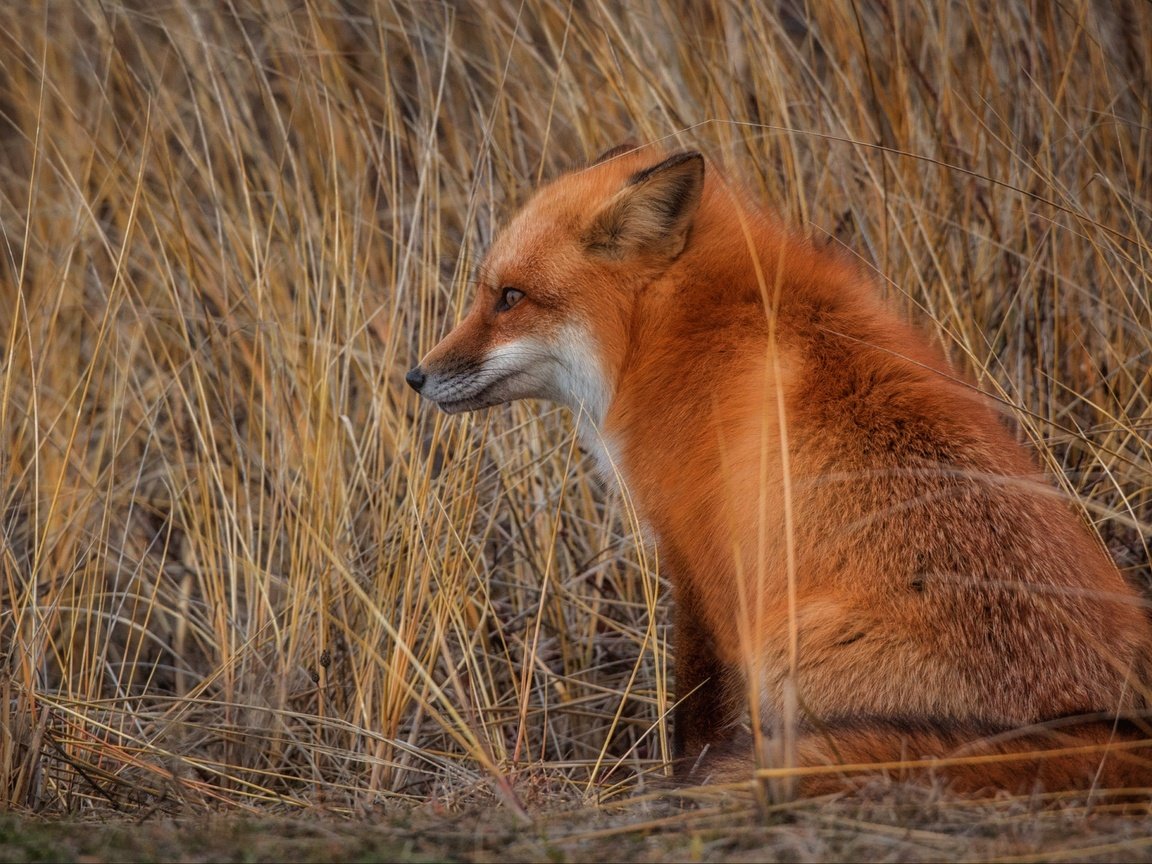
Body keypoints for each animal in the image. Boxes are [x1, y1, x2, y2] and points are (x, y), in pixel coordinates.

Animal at [407, 144, 1152, 797]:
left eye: (510, 297)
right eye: (490, 293)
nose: (416, 376)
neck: (673, 328)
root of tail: (1114, 733)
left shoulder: (702, 555)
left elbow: (696, 712)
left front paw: (678, 788)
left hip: (790, 649)